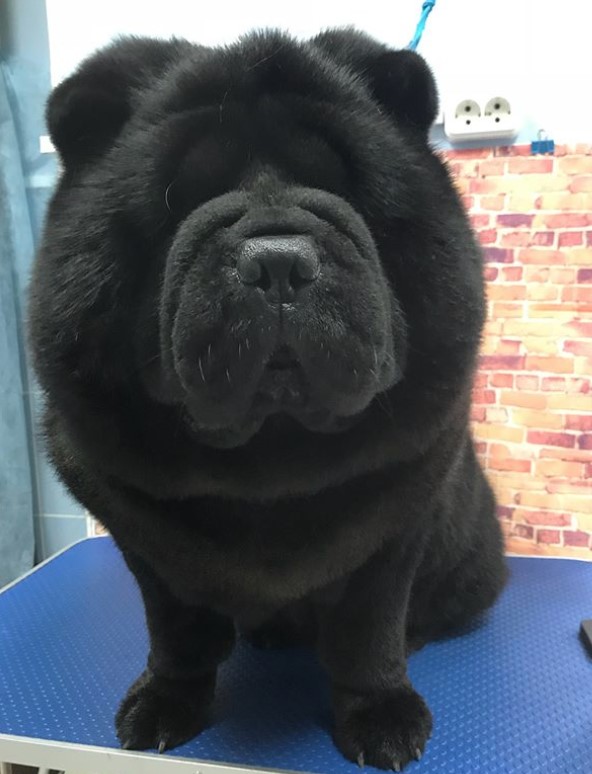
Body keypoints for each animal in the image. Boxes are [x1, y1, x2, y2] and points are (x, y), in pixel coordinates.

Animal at [30, 27, 506, 772]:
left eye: (341, 192)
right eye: (182, 200)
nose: (278, 259)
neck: (268, 464)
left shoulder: (393, 533)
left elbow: (369, 634)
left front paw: (381, 715)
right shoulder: (148, 550)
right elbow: (177, 634)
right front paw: (166, 703)